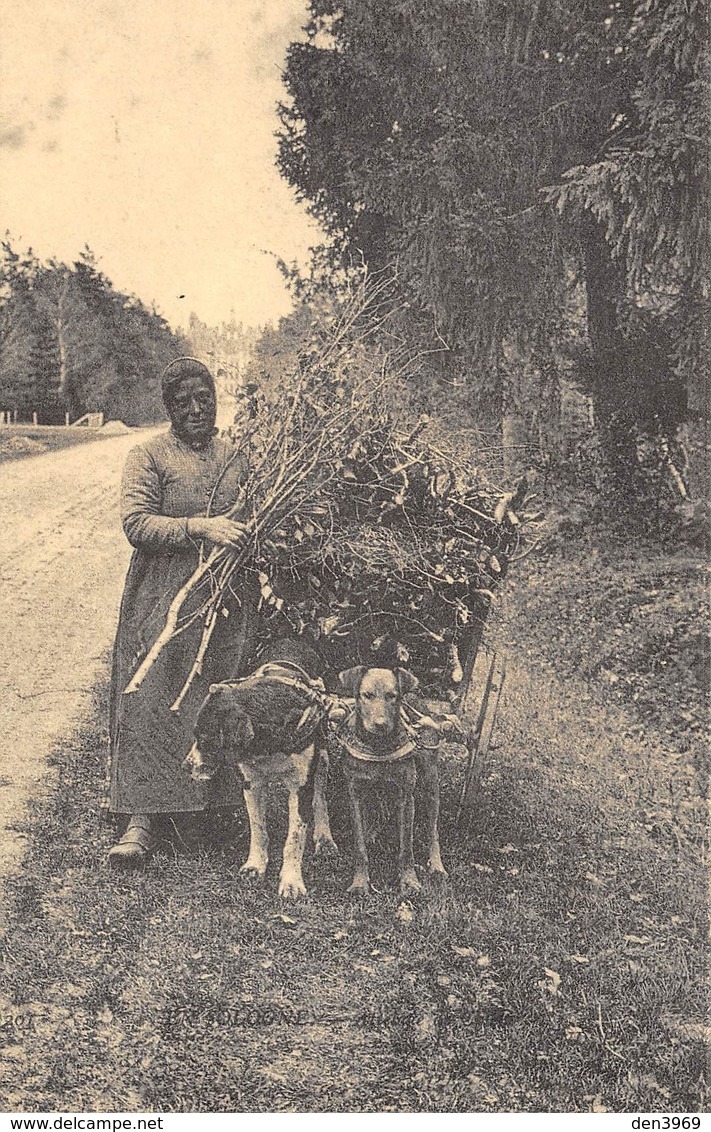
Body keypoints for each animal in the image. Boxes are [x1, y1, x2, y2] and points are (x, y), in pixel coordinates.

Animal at [185, 642, 341, 896]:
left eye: (206, 740)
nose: (186, 766)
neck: (270, 743)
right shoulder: (252, 784)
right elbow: (258, 828)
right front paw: (255, 866)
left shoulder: (301, 786)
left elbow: (295, 837)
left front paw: (291, 881)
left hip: (323, 756)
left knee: (320, 797)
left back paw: (324, 838)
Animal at [332, 661, 443, 892]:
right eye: (367, 695)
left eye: (392, 696)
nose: (380, 724)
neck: (378, 747)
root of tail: (415, 695)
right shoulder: (355, 795)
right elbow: (359, 846)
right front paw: (360, 882)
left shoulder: (406, 797)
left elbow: (406, 848)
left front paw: (409, 880)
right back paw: (371, 833)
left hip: (430, 781)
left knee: (433, 830)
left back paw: (437, 865)